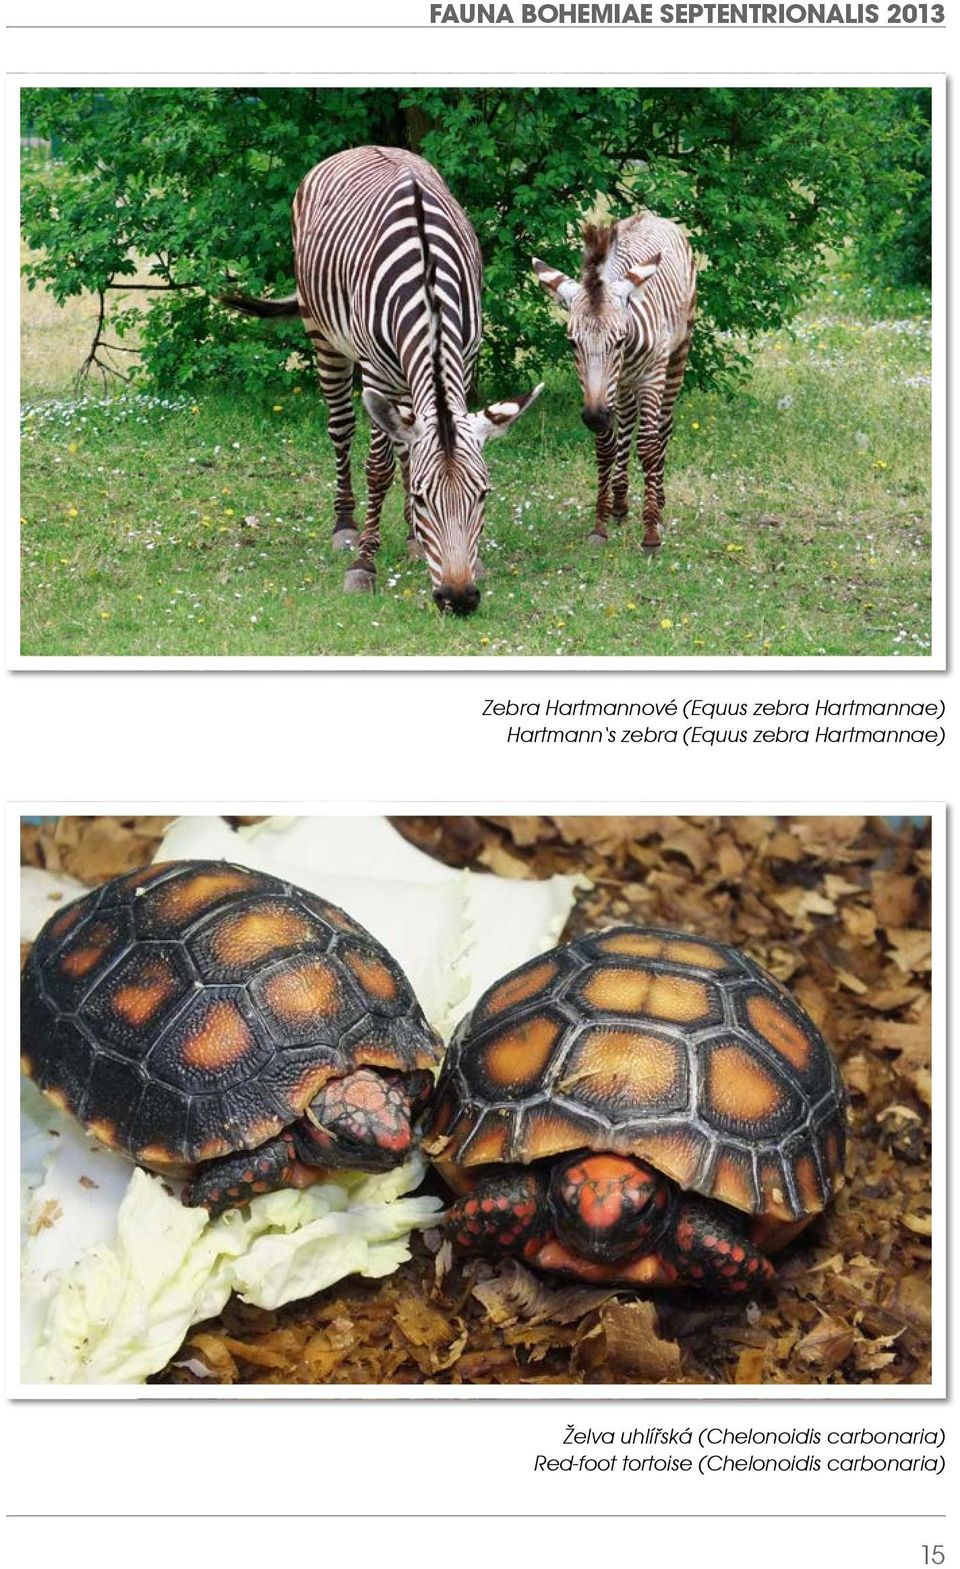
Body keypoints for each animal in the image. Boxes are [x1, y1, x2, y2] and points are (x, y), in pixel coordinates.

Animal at [222, 145, 542, 611]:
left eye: (483, 494)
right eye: (425, 498)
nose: (459, 598)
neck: (427, 290)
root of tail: (359, 148)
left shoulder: (464, 361)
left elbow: (410, 453)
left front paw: (437, 545)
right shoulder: (375, 372)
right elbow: (378, 468)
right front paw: (364, 564)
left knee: (405, 445)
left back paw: (410, 536)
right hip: (324, 337)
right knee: (341, 429)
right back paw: (345, 525)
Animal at [533, 211, 696, 549]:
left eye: (619, 339)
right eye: (572, 343)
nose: (595, 417)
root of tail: (652, 215)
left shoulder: (650, 377)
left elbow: (647, 446)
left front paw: (651, 533)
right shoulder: (603, 389)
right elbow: (606, 447)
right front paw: (600, 523)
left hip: (677, 354)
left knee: (662, 427)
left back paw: (658, 500)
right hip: (621, 387)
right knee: (625, 426)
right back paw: (620, 503)